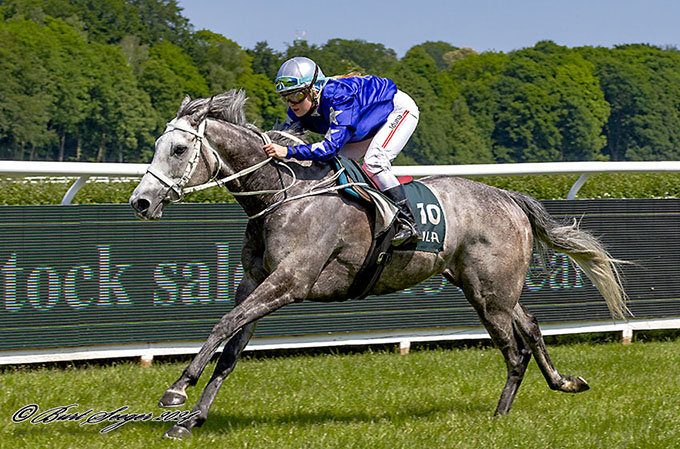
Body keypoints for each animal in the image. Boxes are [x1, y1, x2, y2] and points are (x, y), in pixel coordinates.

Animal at [127, 90, 628, 438]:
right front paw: (191, 420)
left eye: (177, 150)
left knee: (515, 349)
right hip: (491, 289)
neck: (282, 194)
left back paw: (500, 417)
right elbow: (231, 348)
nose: (140, 202)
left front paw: (177, 389)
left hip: (490, 294)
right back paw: (564, 383)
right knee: (533, 328)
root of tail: (509, 198)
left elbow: (224, 325)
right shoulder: (256, 282)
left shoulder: (290, 281)